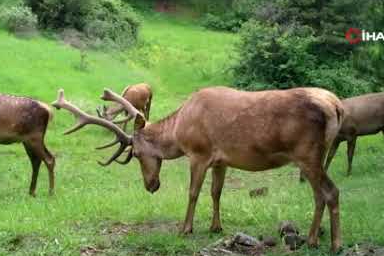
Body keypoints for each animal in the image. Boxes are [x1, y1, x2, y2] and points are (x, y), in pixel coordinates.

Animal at [52, 86, 344, 252]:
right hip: (315, 157)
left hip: (307, 154)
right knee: (320, 195)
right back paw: (313, 239)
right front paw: (216, 227)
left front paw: (185, 228)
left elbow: (193, 192)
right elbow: (216, 192)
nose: (151, 185)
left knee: (331, 192)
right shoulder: (221, 160)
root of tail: (337, 106)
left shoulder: (199, 153)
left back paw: (335, 244)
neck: (179, 130)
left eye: (135, 154)